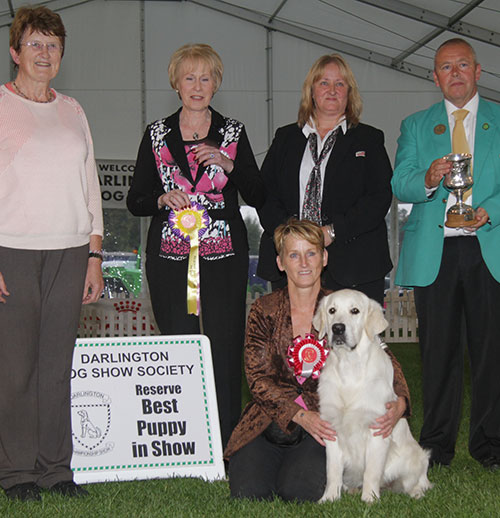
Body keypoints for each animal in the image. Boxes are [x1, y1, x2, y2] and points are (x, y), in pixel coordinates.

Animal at [314, 288, 432, 504]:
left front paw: (369, 499)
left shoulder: (377, 430)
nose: (337, 328)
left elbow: (371, 471)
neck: (350, 368)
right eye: (332, 310)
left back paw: (416, 493)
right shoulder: (332, 430)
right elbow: (332, 471)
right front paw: (329, 498)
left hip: (416, 457)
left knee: (419, 481)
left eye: (355, 310)